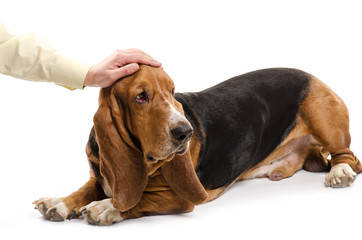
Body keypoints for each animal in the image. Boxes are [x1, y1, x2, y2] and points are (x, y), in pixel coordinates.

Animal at [33, 65, 360, 225]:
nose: (185, 132)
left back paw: (340, 173)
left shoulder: (179, 198)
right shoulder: (100, 176)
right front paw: (61, 202)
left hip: (323, 117)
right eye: (141, 97)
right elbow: (85, 189)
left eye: (172, 91)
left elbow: (139, 200)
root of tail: (312, 74)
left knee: (348, 156)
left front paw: (106, 207)